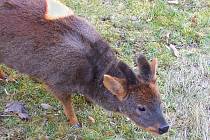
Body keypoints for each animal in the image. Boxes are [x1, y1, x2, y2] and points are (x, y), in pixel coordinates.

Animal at [0, 0, 169, 135]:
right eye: (141, 107)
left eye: (160, 101)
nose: (164, 128)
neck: (87, 78)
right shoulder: (55, 82)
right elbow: (68, 105)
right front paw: (75, 123)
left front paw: (89, 103)